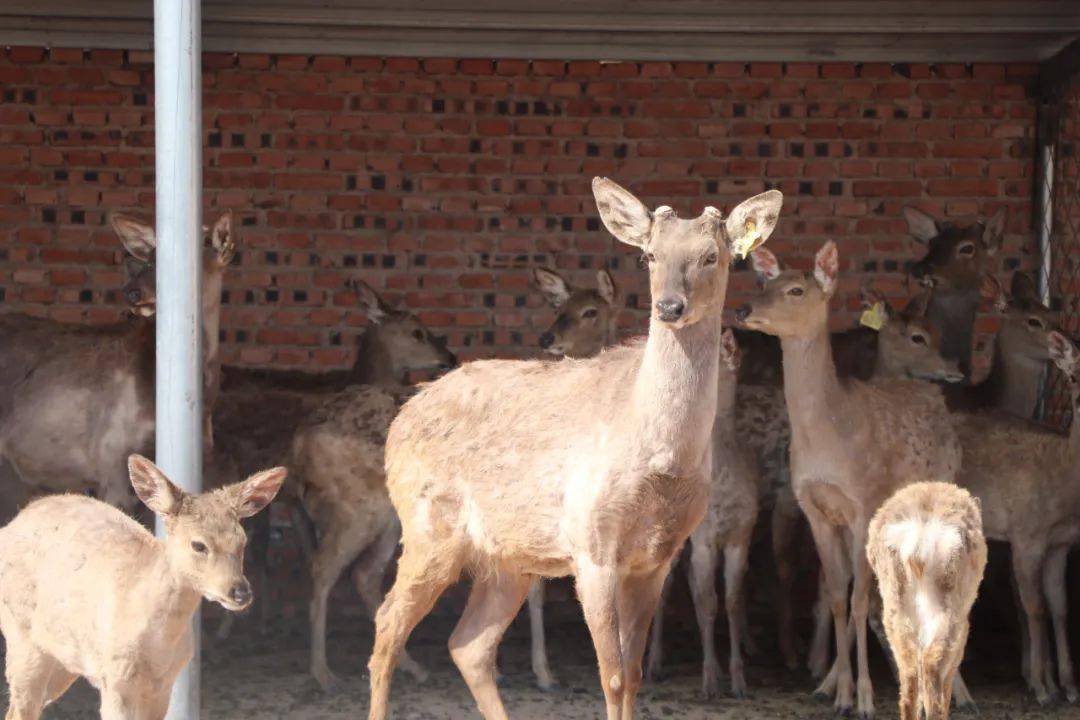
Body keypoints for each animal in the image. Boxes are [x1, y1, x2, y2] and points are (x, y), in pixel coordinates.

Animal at [0, 453, 285, 720]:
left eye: (242, 541)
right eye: (198, 545)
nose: (240, 592)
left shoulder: (165, 682)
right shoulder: (115, 678)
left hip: (64, 659)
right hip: (22, 638)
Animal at [367, 175, 781, 720]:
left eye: (713, 256)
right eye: (649, 255)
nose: (669, 306)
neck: (660, 457)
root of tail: (400, 421)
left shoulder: (657, 557)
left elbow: (634, 674)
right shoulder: (592, 546)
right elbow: (611, 675)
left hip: (508, 556)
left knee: (469, 645)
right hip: (427, 528)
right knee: (387, 626)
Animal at [734, 239, 963, 716]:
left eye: (797, 290)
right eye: (765, 283)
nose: (743, 308)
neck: (829, 440)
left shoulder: (864, 504)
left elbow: (859, 599)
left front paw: (863, 698)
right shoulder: (816, 510)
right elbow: (838, 594)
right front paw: (833, 689)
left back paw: (958, 692)